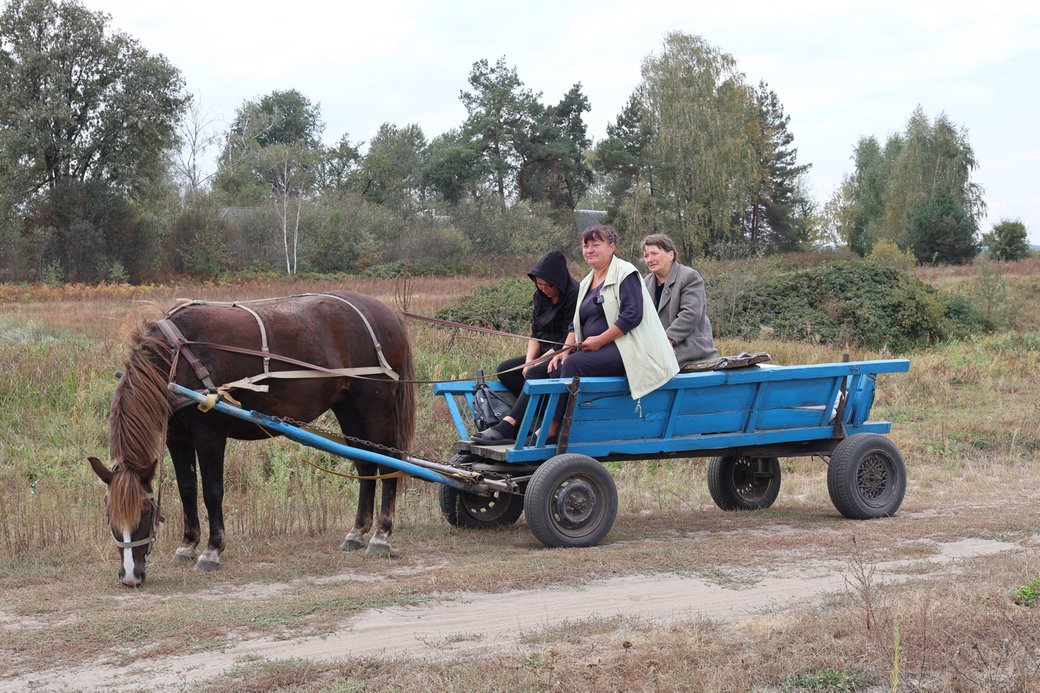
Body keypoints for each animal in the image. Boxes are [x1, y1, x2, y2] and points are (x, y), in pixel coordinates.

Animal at [86, 289, 413, 586]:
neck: (175, 360)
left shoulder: (210, 435)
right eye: (109, 514)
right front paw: (187, 545)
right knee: (365, 463)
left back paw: (381, 535)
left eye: (144, 511)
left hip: (375, 406)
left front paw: (212, 551)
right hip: (348, 407)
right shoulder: (177, 439)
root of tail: (388, 314)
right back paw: (357, 532)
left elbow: (212, 492)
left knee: (389, 463)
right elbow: (187, 490)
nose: (130, 577)